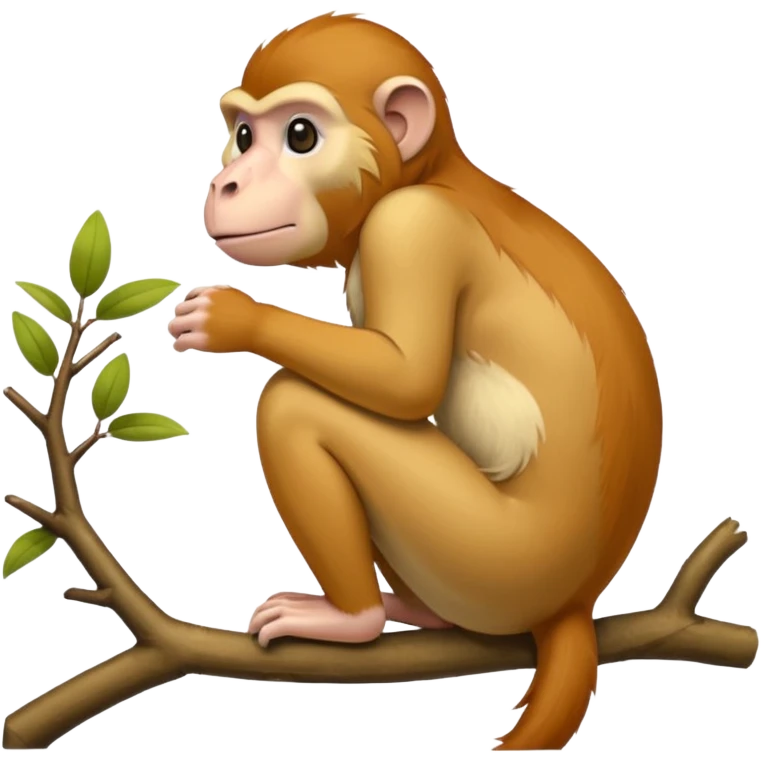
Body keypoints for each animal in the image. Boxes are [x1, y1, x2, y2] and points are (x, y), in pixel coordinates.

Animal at [167, 12, 663, 752]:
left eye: (301, 136)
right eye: (244, 136)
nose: (227, 183)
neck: (426, 177)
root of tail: (575, 600)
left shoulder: (412, 231)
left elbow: (402, 380)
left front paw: (238, 319)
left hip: (494, 559)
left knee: (297, 406)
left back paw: (354, 620)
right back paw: (415, 613)